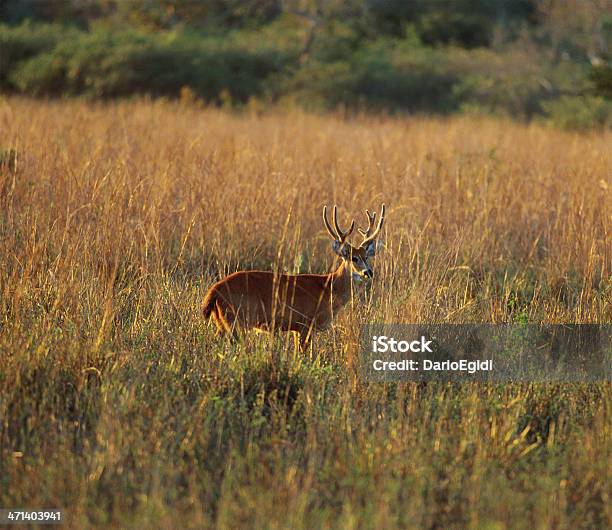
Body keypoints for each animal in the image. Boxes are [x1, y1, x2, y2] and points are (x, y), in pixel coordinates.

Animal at [201, 204, 384, 348]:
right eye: (354, 258)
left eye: (366, 257)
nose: (368, 272)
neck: (328, 288)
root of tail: (213, 291)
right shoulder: (305, 323)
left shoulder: (296, 328)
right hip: (236, 319)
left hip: (223, 321)